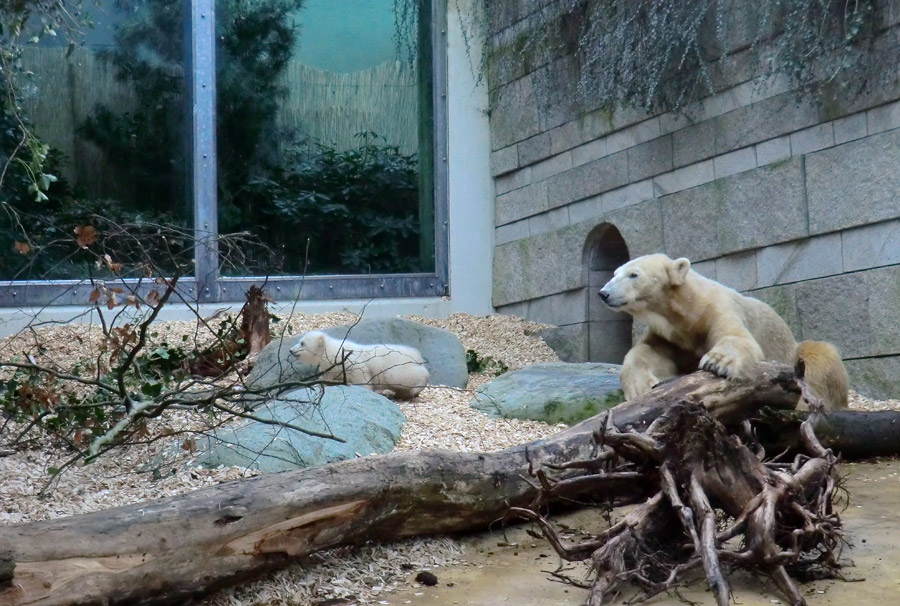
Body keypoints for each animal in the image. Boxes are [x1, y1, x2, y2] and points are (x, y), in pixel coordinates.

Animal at [600, 254, 848, 410]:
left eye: (633, 274)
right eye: (615, 273)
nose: (604, 293)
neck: (687, 312)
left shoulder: (717, 310)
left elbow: (738, 337)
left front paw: (717, 361)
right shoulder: (669, 335)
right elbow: (647, 352)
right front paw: (640, 386)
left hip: (797, 354)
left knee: (820, 357)